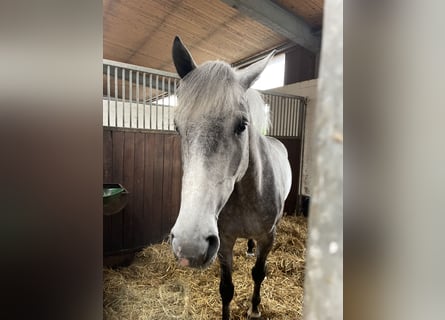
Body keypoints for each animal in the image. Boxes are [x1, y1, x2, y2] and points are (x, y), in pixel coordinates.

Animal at [169, 36, 292, 318]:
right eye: (177, 127)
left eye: (242, 125)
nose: (189, 245)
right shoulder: (223, 242)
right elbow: (226, 289)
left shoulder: (268, 237)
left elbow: (258, 273)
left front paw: (255, 308)